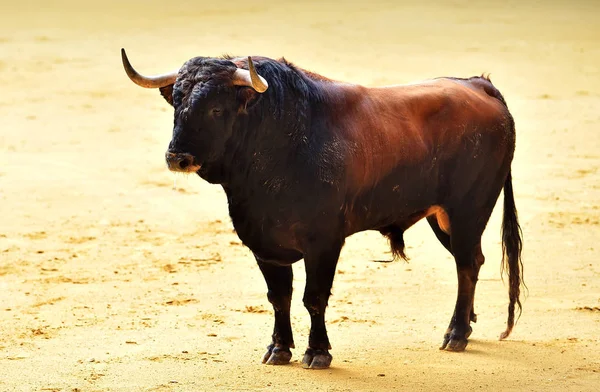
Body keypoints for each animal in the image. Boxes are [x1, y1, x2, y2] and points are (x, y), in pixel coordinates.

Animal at [120, 47, 520, 370]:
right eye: (177, 103)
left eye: (217, 108)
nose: (178, 157)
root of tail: (479, 86)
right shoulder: (263, 243)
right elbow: (279, 297)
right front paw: (279, 350)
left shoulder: (324, 242)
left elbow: (313, 298)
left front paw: (318, 353)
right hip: (443, 217)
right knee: (470, 262)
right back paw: (467, 324)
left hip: (468, 210)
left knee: (467, 263)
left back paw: (456, 334)